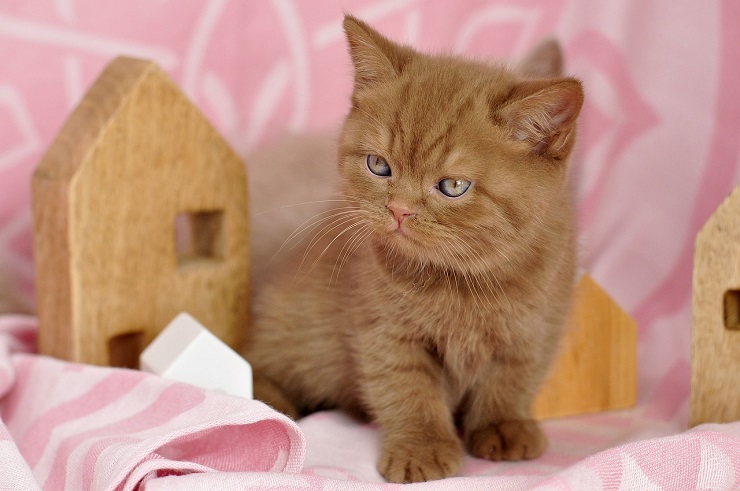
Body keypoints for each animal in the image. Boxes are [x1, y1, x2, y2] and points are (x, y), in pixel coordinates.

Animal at [247, 16, 584, 484]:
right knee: (255, 359)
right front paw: (421, 449)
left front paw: (504, 426)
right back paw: (268, 403)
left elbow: (515, 376)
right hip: (299, 325)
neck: (462, 279)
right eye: (379, 166)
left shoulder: (538, 323)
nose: (399, 210)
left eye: (453, 186)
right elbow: (407, 387)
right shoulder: (385, 329)